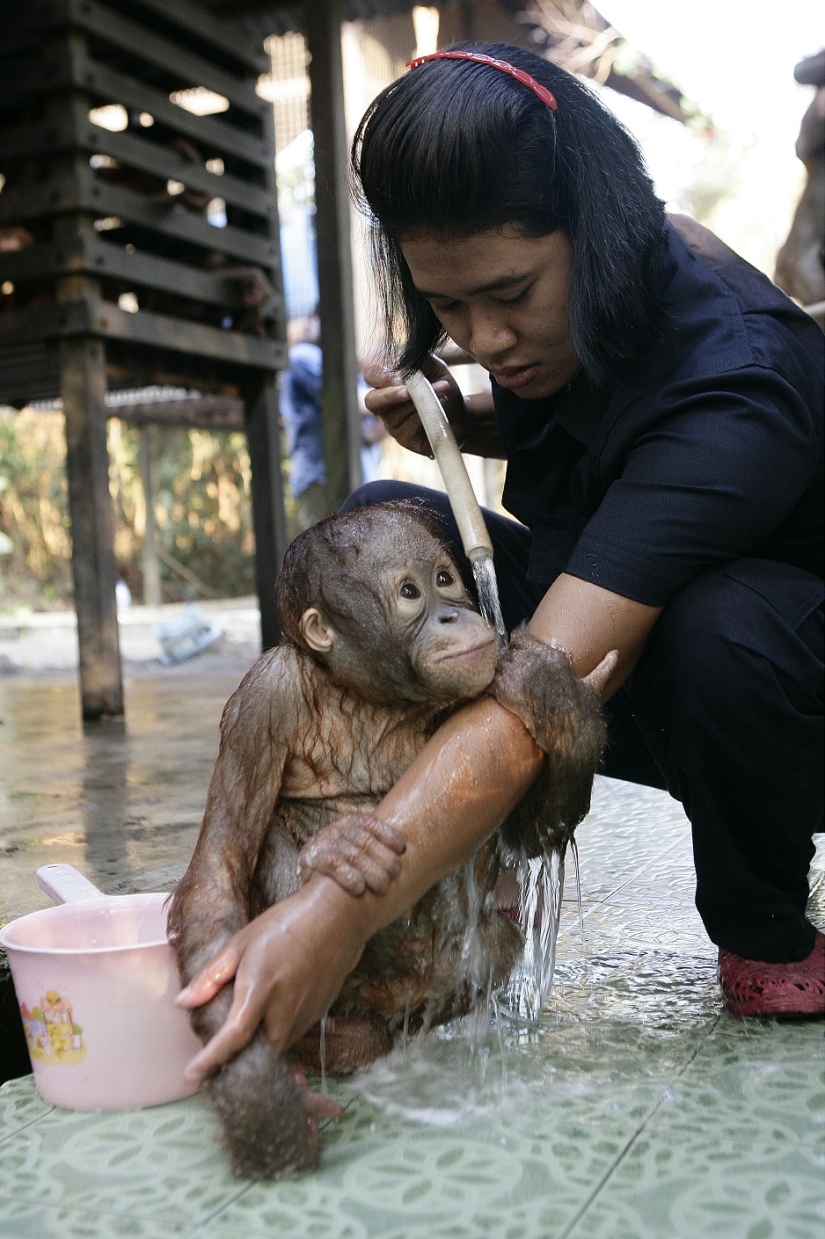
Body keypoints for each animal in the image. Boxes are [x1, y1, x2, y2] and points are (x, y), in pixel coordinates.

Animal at [168, 502, 609, 1180]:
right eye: (409, 593)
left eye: (446, 579)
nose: (454, 612)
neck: (370, 693)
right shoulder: (261, 699)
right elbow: (222, 858)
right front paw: (259, 1098)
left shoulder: (479, 688)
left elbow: (531, 834)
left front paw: (555, 696)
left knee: (494, 940)